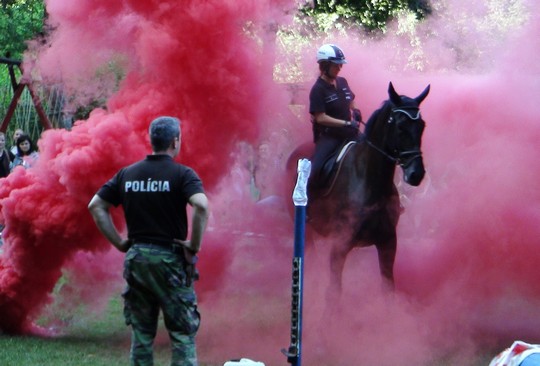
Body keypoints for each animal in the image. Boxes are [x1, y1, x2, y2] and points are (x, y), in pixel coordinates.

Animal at [286, 82, 430, 292]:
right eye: (401, 126)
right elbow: (334, 292)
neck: (370, 182)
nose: (416, 173)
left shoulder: (388, 243)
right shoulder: (340, 245)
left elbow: (388, 290)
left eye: (422, 126)